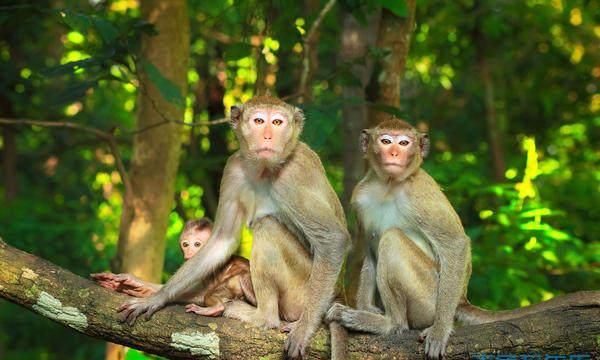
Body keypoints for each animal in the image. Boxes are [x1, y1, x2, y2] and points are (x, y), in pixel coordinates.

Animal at [91, 218, 255, 316]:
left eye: (197, 244)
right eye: (185, 244)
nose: (189, 252)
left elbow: (202, 293)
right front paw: (134, 286)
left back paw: (216, 308)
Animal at [118, 95, 352, 358]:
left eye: (277, 122)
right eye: (259, 121)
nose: (268, 137)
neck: (265, 168)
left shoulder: (293, 176)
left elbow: (333, 238)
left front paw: (303, 330)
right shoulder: (233, 168)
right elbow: (222, 240)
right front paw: (158, 296)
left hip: (300, 294)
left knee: (267, 227)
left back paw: (264, 317)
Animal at [328, 117, 600, 358]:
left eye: (404, 143)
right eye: (386, 141)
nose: (394, 153)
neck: (389, 185)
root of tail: (461, 301)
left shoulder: (420, 193)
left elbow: (456, 245)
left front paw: (440, 332)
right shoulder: (361, 197)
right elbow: (368, 251)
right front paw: (365, 308)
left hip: (431, 297)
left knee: (392, 240)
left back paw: (391, 324)